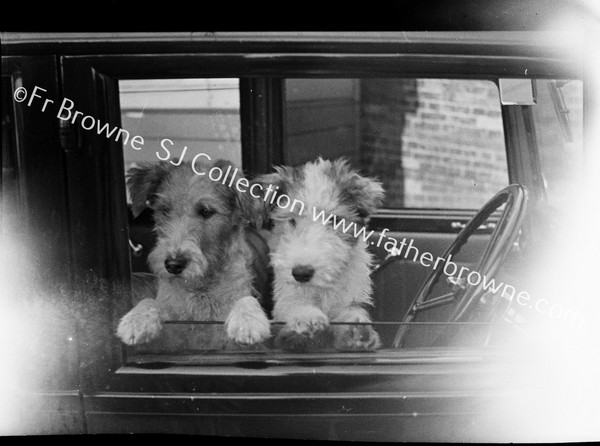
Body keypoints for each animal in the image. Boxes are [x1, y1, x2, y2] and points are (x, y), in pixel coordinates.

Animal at [116, 159, 270, 350]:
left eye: (206, 211)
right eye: (165, 210)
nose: (173, 265)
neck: (199, 289)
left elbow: (245, 299)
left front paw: (247, 322)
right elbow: (150, 302)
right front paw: (135, 321)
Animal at [258, 159, 384, 350]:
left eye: (334, 220)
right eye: (292, 220)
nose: (301, 273)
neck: (321, 289)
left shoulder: (350, 298)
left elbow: (350, 314)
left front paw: (356, 330)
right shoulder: (285, 305)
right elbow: (293, 308)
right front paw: (306, 318)